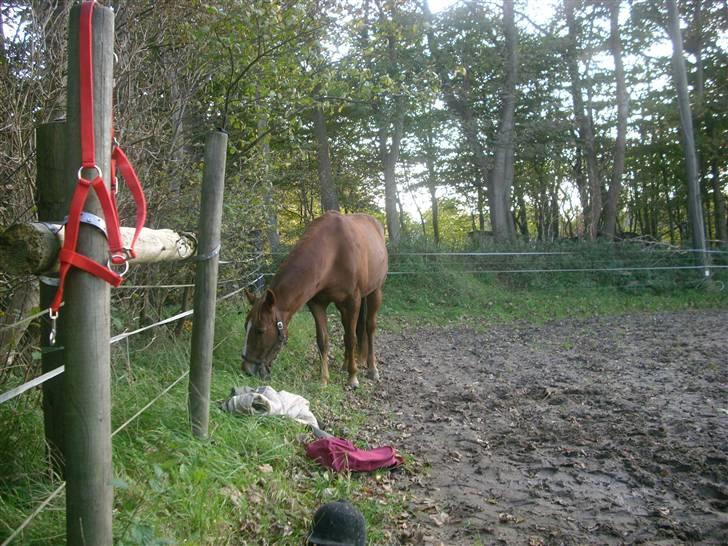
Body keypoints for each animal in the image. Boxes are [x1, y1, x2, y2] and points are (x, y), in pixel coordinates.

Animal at [242, 209, 390, 386]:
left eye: (260, 330)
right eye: (246, 326)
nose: (247, 369)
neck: (333, 252)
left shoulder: (352, 302)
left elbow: (351, 338)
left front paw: (352, 377)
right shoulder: (317, 304)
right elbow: (323, 340)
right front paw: (323, 379)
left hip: (375, 292)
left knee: (369, 328)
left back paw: (371, 369)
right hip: (343, 306)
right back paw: (345, 365)